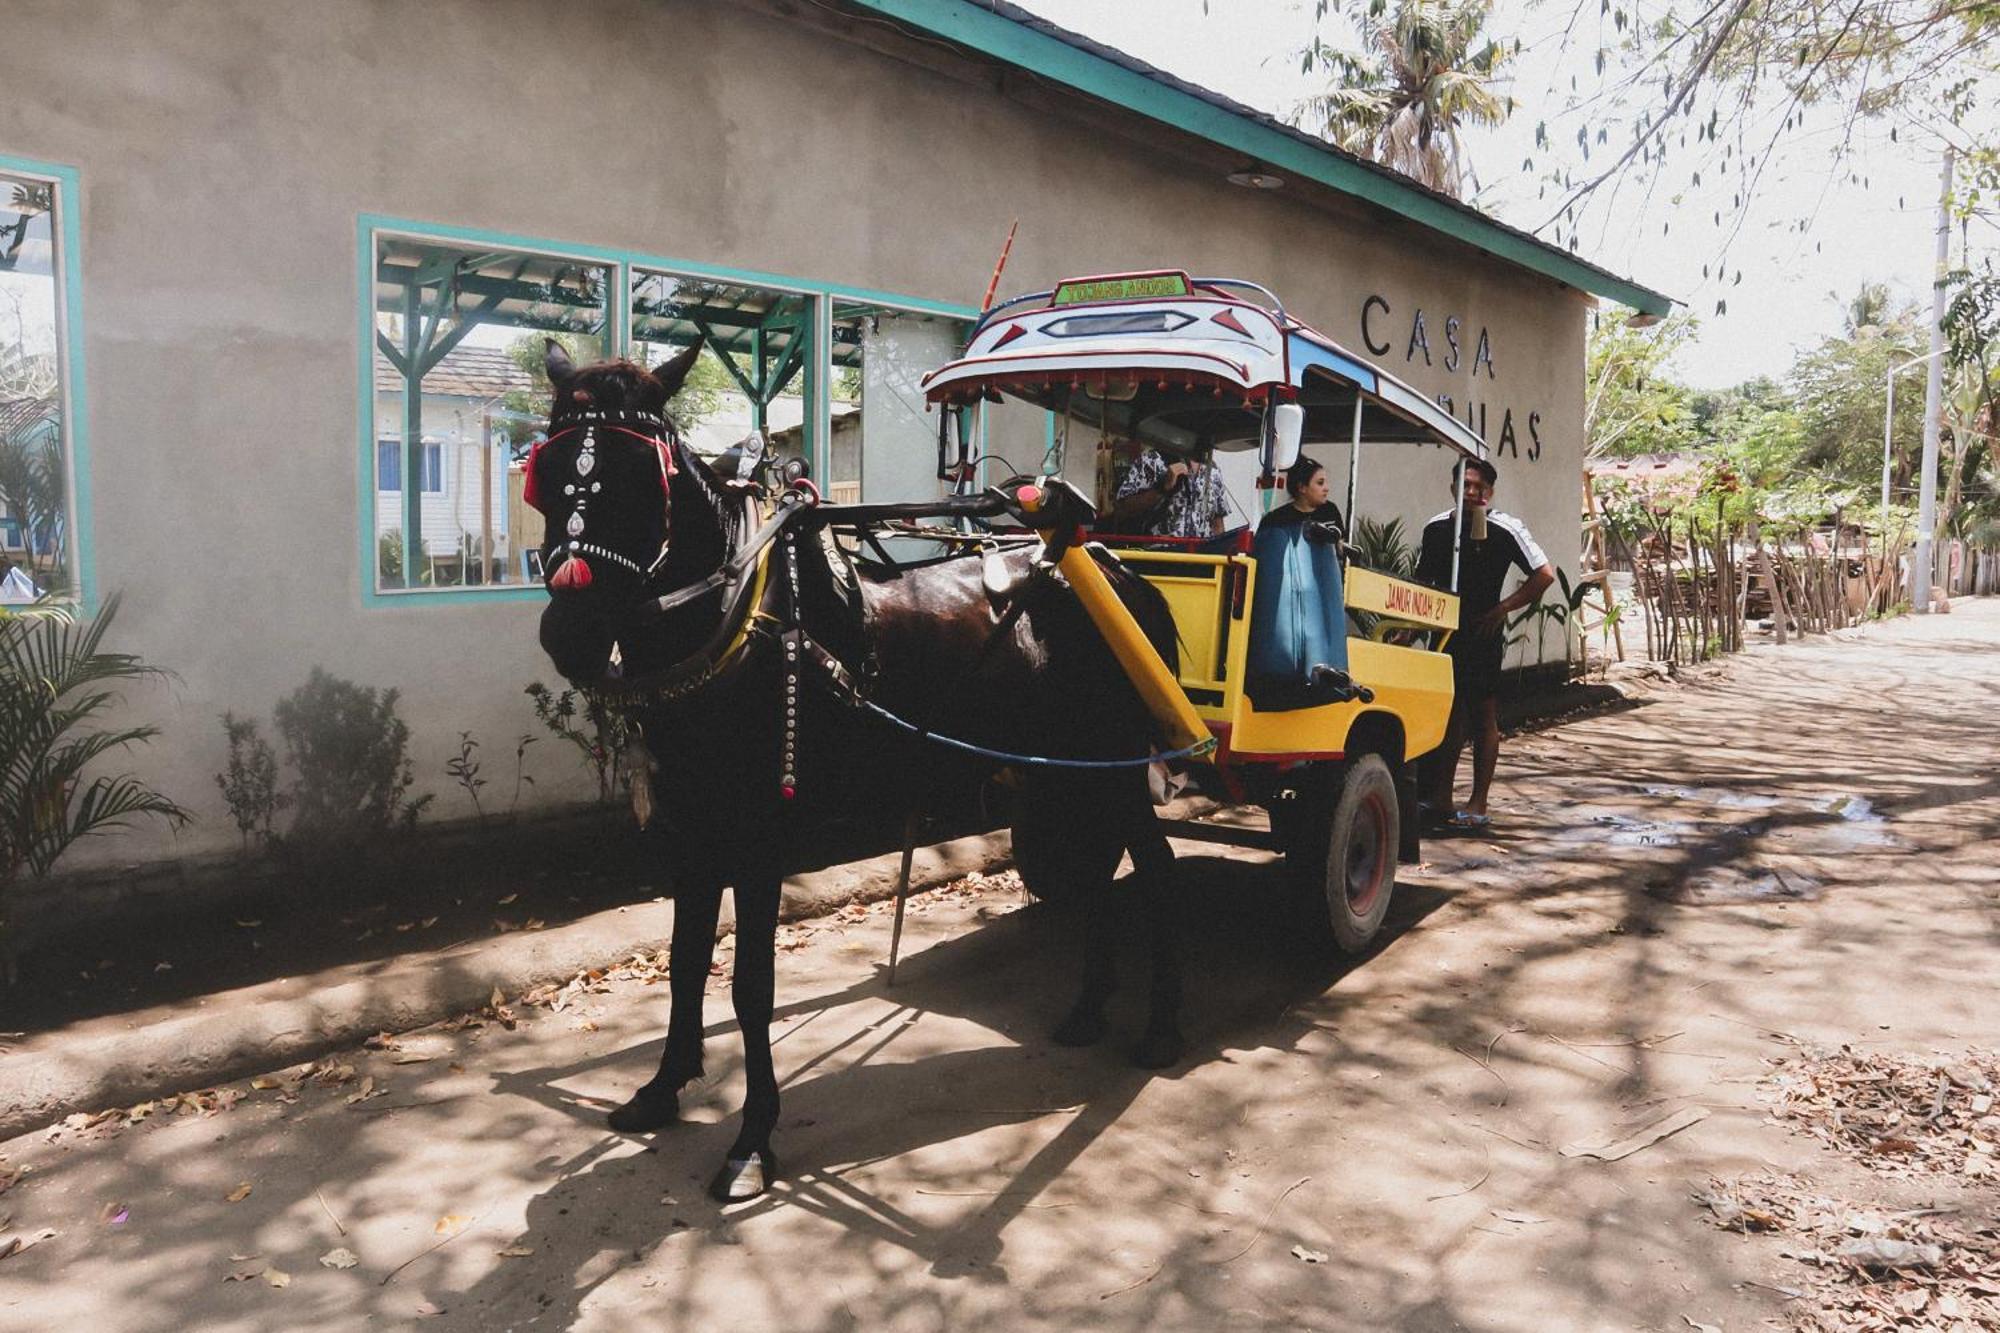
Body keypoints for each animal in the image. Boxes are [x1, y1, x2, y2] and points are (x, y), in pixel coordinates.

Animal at [532, 340, 1184, 1192]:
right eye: (543, 472)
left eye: (648, 477)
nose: (570, 630)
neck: (742, 624)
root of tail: (1121, 568)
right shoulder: (693, 830)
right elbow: (683, 963)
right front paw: (663, 1088)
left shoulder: (759, 837)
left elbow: (750, 986)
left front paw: (752, 1138)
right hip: (1062, 767)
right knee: (1099, 869)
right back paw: (1086, 1008)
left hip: (1111, 762)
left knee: (1156, 866)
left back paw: (1163, 1028)